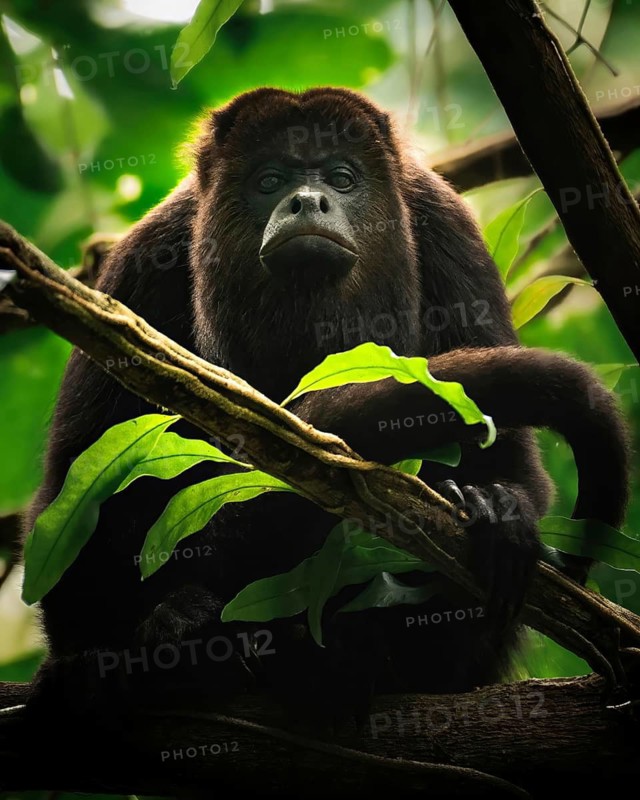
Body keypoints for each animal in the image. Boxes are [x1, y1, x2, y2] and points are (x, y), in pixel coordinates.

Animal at [23, 87, 629, 726]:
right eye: (268, 180)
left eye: (342, 178)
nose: (308, 199)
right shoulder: (140, 262)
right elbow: (77, 485)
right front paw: (104, 658)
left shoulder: (449, 231)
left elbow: (512, 459)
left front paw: (497, 505)